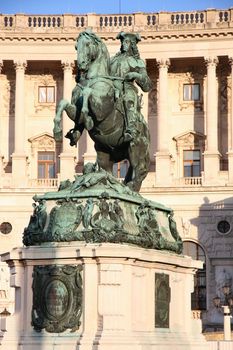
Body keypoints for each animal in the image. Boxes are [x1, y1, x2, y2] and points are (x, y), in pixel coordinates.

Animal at [53, 30, 150, 191]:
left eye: (88, 44)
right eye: (76, 46)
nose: (81, 65)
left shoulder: (101, 109)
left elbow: (88, 93)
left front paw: (86, 116)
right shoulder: (74, 111)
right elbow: (63, 103)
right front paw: (58, 131)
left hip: (136, 147)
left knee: (139, 169)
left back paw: (130, 188)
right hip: (104, 151)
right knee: (108, 171)